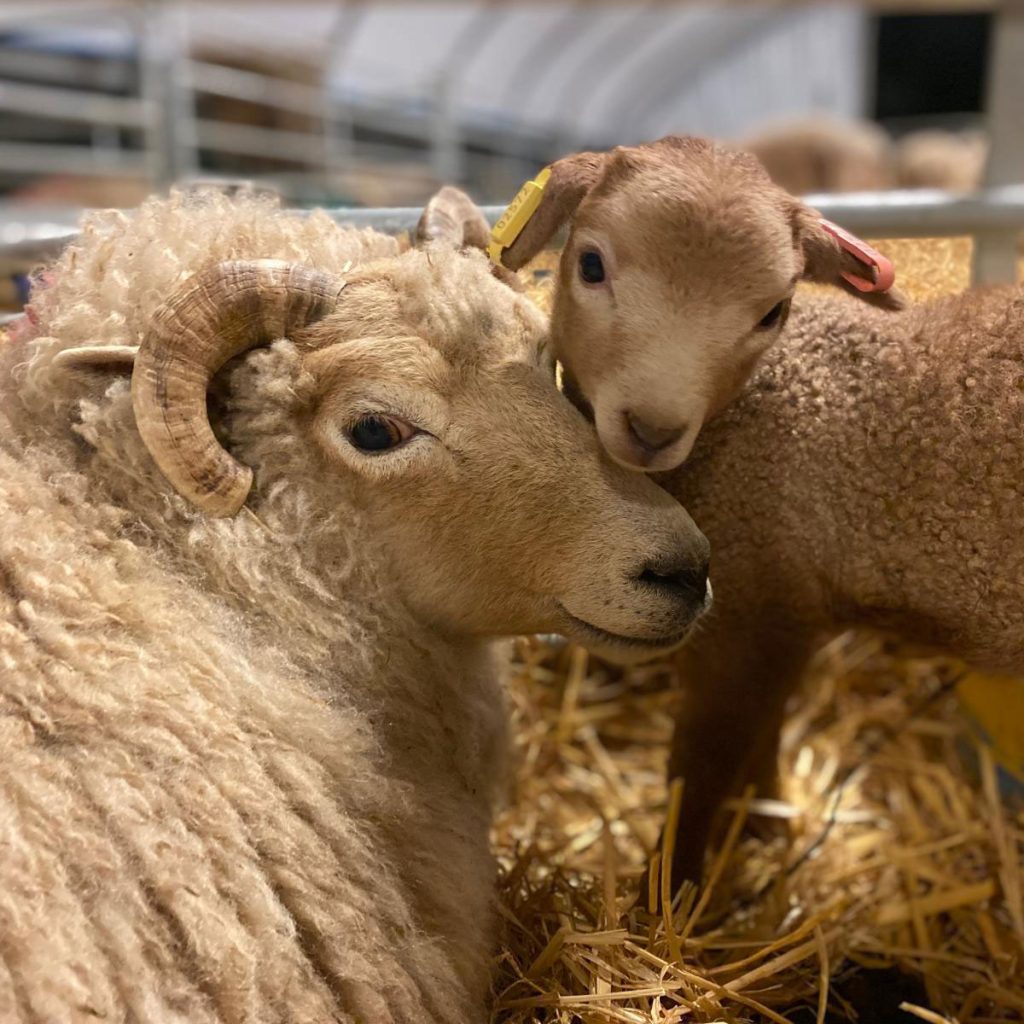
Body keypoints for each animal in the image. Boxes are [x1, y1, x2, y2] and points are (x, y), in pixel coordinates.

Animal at [494, 135, 1022, 892]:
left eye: (772, 311)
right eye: (590, 264)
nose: (651, 428)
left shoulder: (754, 609)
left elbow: (704, 765)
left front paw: (671, 887)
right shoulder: (787, 616)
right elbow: (765, 731)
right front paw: (769, 819)